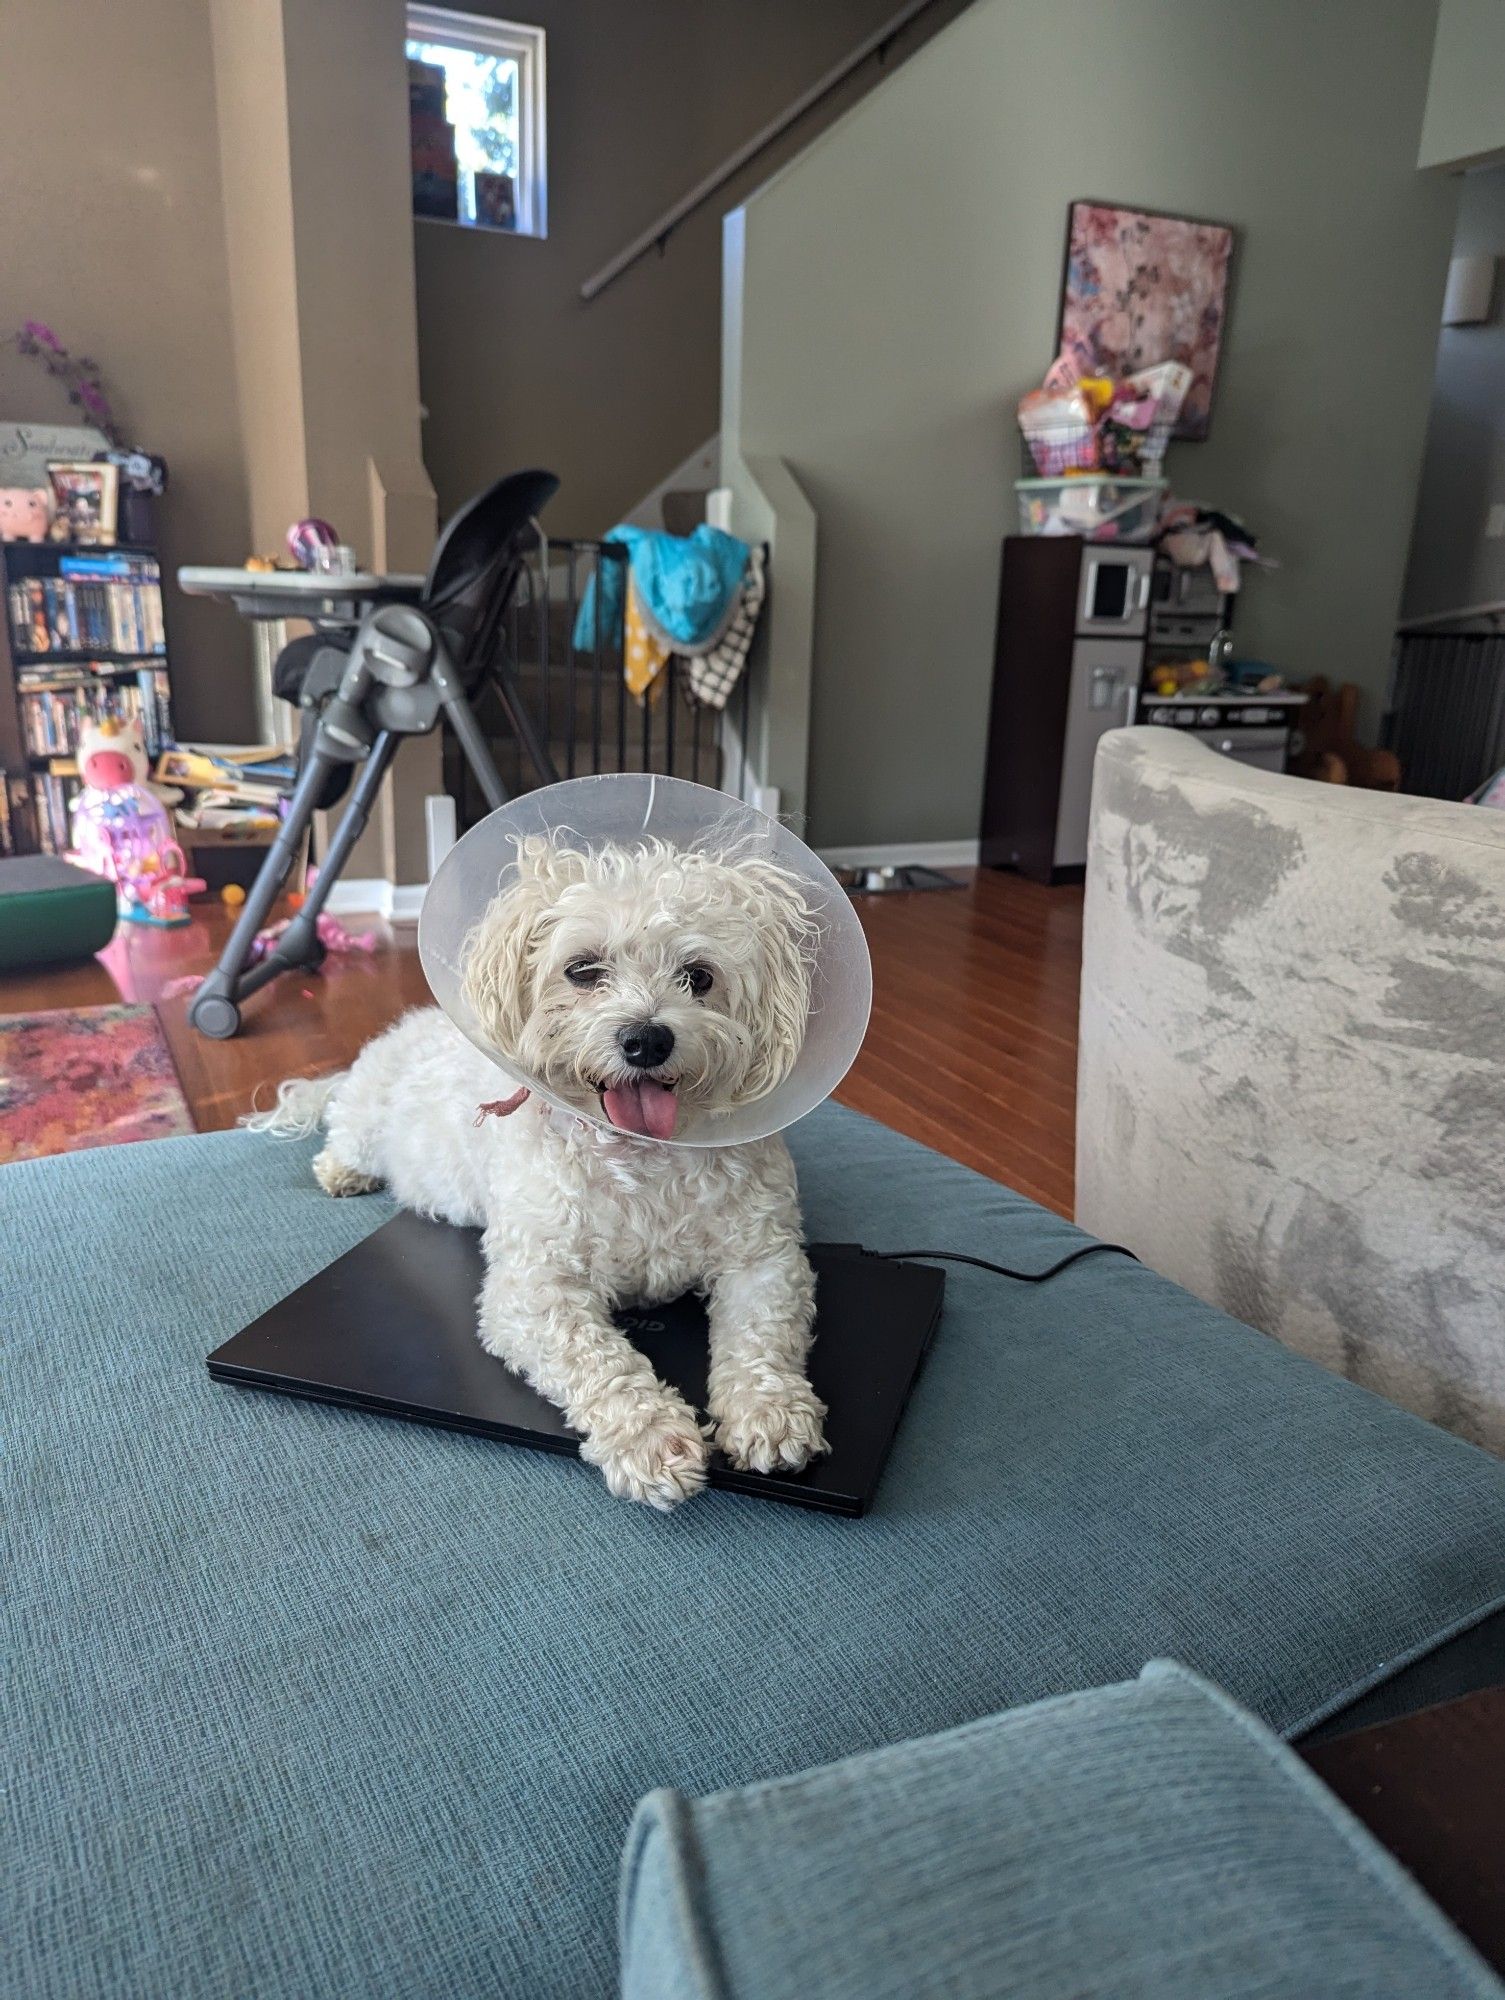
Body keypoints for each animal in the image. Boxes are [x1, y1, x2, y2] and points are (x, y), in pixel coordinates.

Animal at [251, 836, 828, 1504]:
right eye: (582, 970)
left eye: (699, 976)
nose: (647, 1039)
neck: (639, 1154)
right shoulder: (534, 1288)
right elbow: (599, 1361)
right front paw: (652, 1438)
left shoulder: (765, 1261)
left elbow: (763, 1336)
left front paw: (771, 1413)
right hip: (368, 1120)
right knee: (341, 1137)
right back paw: (342, 1173)